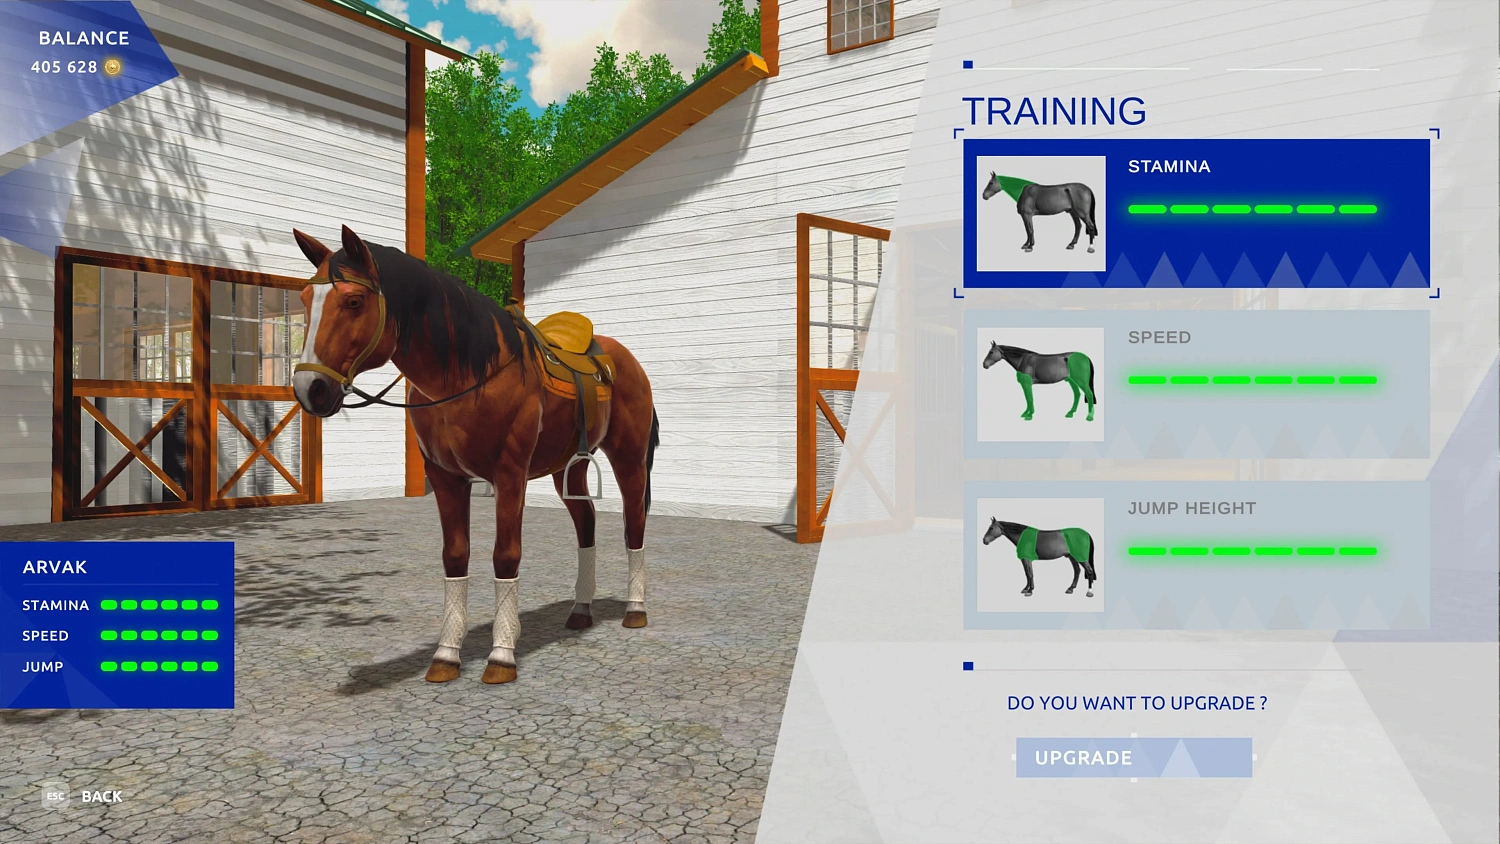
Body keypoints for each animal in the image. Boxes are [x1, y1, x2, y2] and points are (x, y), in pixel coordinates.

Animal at [290, 226, 659, 685]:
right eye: (305, 299)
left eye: (354, 301)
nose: (310, 389)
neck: (468, 374)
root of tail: (624, 358)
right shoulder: (446, 477)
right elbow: (455, 555)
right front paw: (446, 657)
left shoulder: (510, 475)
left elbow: (505, 555)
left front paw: (501, 656)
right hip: (567, 469)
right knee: (586, 523)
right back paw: (580, 611)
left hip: (628, 457)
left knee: (634, 524)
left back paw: (635, 611)